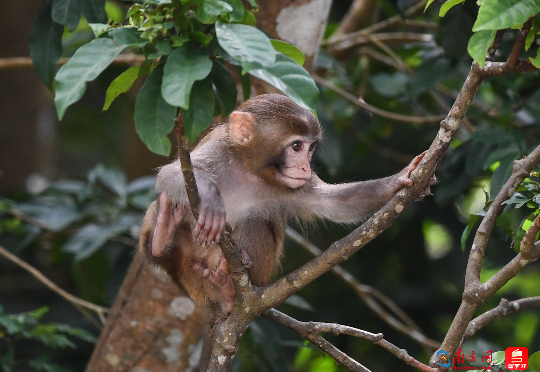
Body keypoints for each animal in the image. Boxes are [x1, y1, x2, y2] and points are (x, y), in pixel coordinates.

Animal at [139, 93, 434, 316]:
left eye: (311, 148)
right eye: (296, 147)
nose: (305, 167)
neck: (248, 170)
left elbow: (334, 203)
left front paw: (400, 178)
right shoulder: (217, 153)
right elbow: (170, 174)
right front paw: (211, 201)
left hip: (254, 275)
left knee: (255, 220)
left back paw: (228, 287)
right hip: (184, 271)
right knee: (165, 206)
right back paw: (162, 235)